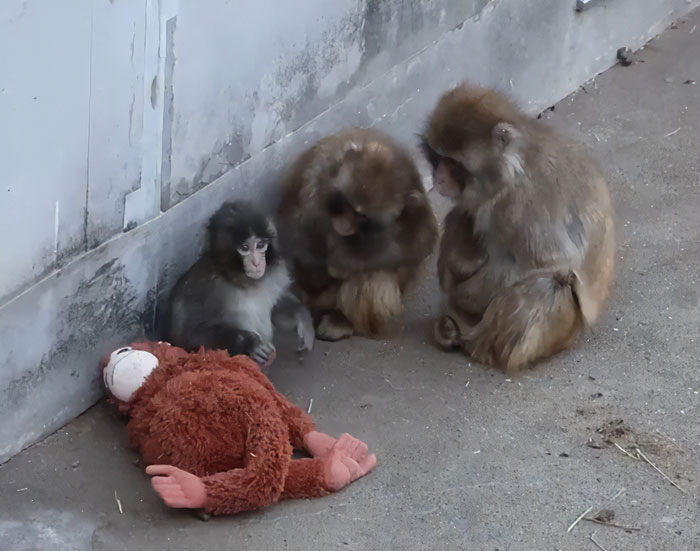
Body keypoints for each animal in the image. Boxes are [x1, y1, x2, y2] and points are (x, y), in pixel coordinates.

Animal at [165, 201, 315, 366]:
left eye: (260, 245)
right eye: (244, 248)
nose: (256, 262)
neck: (238, 278)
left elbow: (277, 306)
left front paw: (302, 319)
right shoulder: (202, 286)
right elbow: (188, 337)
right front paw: (251, 343)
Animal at [277, 127, 438, 341]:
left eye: (362, 216)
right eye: (346, 203)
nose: (344, 224)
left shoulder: (414, 201)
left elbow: (420, 243)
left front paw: (343, 263)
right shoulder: (311, 177)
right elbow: (292, 236)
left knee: (373, 276)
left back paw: (343, 321)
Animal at [421, 82, 615, 373]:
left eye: (454, 164)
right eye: (438, 157)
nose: (439, 177)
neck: (513, 166)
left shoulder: (520, 203)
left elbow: (548, 262)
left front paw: (461, 295)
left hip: (561, 331)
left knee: (548, 285)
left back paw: (475, 345)